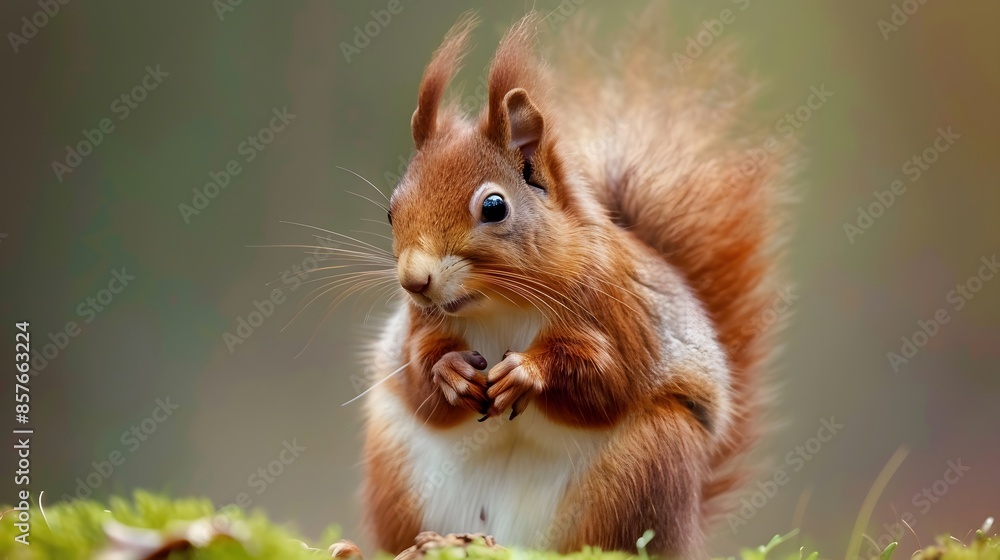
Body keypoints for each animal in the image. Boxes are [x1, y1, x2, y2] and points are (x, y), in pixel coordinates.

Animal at [358, 10, 789, 559]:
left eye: (494, 206)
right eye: (391, 211)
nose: (414, 280)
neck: (499, 304)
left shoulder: (621, 313)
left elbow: (606, 382)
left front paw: (527, 372)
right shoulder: (419, 326)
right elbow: (418, 377)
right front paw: (449, 371)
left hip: (647, 467)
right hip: (395, 469)